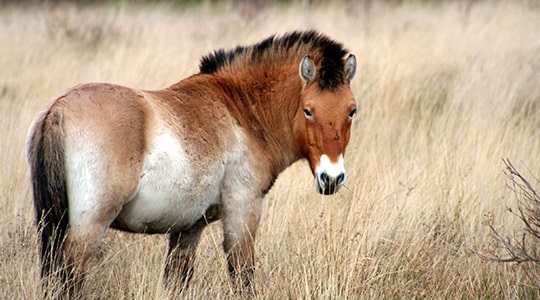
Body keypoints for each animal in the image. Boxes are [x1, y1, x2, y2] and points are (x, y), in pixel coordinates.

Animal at [27, 31, 358, 296]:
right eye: (308, 110)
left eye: (351, 110)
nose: (331, 177)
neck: (241, 110)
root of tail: (57, 110)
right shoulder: (243, 211)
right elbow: (243, 276)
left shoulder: (188, 229)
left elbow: (177, 279)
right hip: (89, 226)